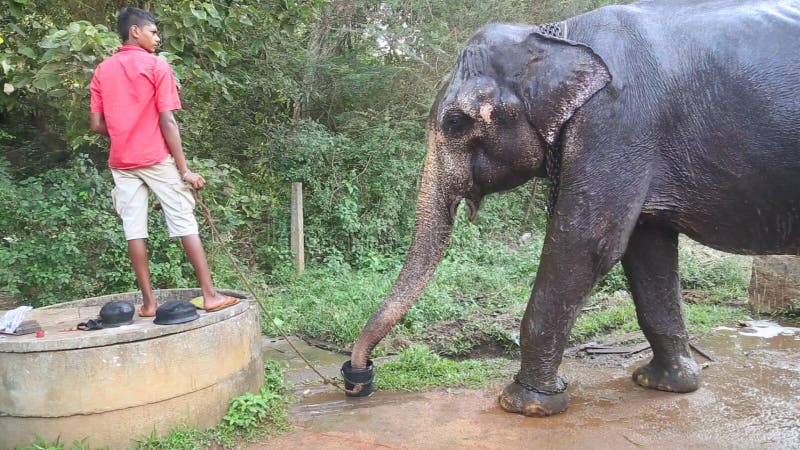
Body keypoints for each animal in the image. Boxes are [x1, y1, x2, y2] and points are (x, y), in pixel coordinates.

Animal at [346, 0, 800, 416]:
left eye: (456, 123)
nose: (358, 378)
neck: (557, 35)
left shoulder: (617, 121)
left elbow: (587, 243)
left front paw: (524, 404)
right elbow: (647, 247)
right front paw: (663, 384)